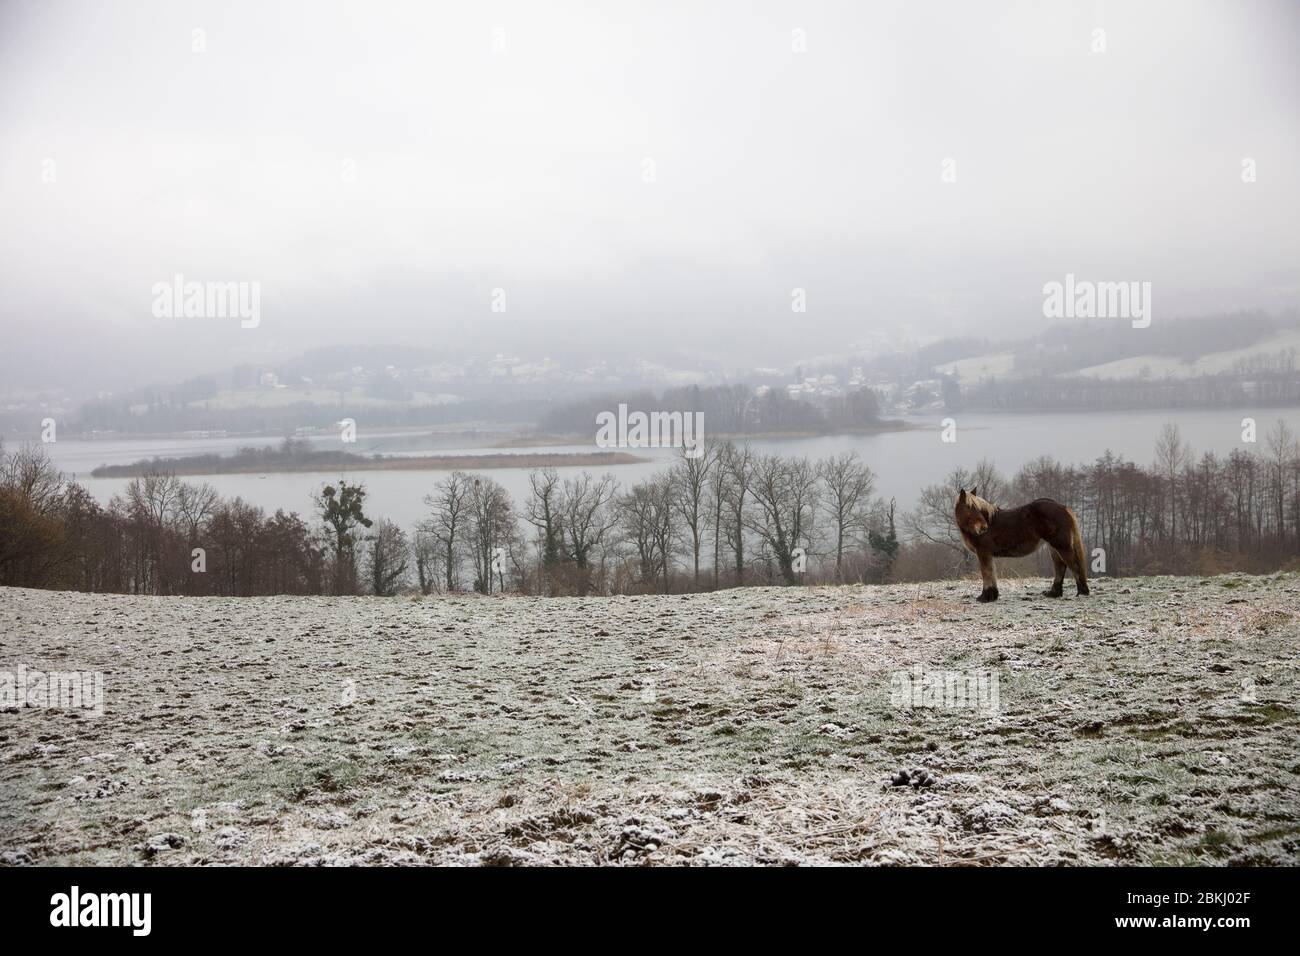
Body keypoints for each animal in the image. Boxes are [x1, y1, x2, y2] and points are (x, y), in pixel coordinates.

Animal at [951, 489, 1092, 600]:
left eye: (976, 507)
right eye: (969, 507)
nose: (984, 528)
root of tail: (1063, 507)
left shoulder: (983, 553)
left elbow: (987, 573)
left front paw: (985, 597)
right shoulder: (987, 555)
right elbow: (991, 572)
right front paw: (992, 595)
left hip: (1061, 545)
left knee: (1074, 565)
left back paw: (1082, 592)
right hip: (1053, 547)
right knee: (1060, 567)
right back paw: (1054, 593)